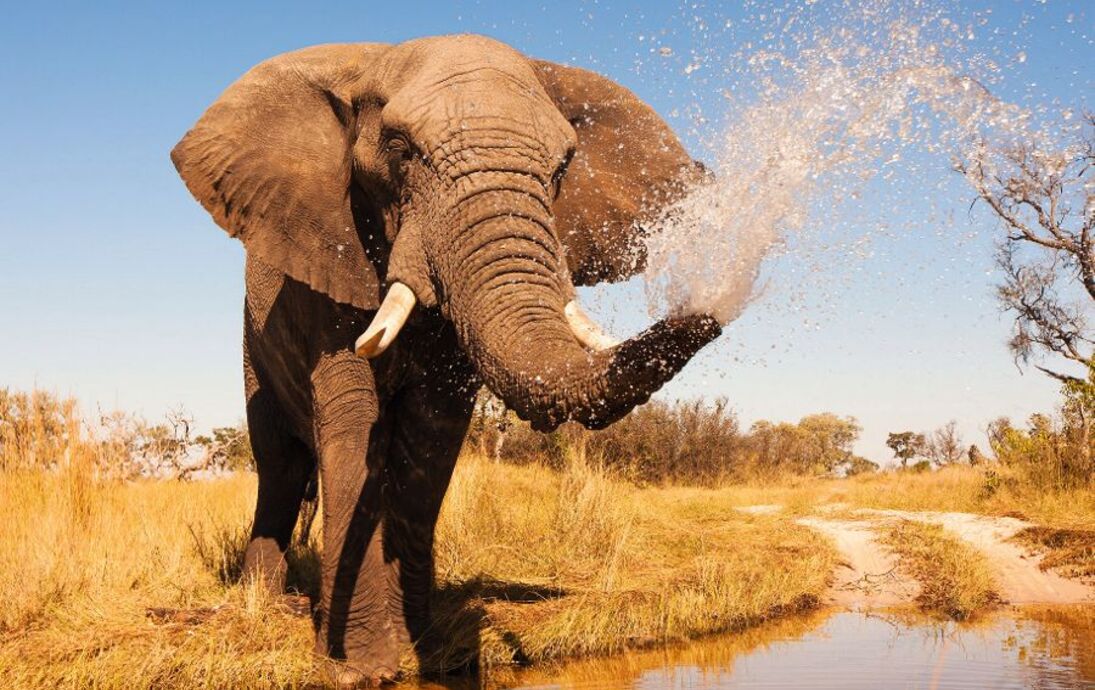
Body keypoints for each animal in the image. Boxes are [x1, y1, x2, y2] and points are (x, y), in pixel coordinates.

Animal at [171, 34, 721, 684]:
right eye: (398, 149)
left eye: (563, 167)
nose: (712, 308)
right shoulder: (329, 261)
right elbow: (353, 424)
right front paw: (360, 667)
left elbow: (430, 436)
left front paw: (425, 650)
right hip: (253, 345)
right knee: (278, 463)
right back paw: (264, 601)